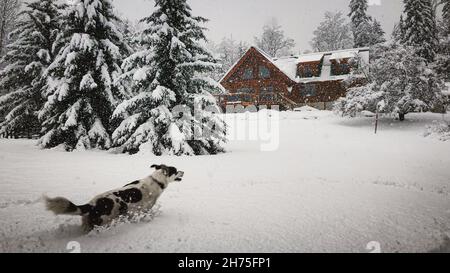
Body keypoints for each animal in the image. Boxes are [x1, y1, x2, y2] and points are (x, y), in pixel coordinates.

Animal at [42, 164, 183, 232]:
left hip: (88, 224)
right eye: (175, 170)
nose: (183, 171)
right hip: (104, 221)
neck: (156, 181)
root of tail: (92, 204)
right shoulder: (143, 209)